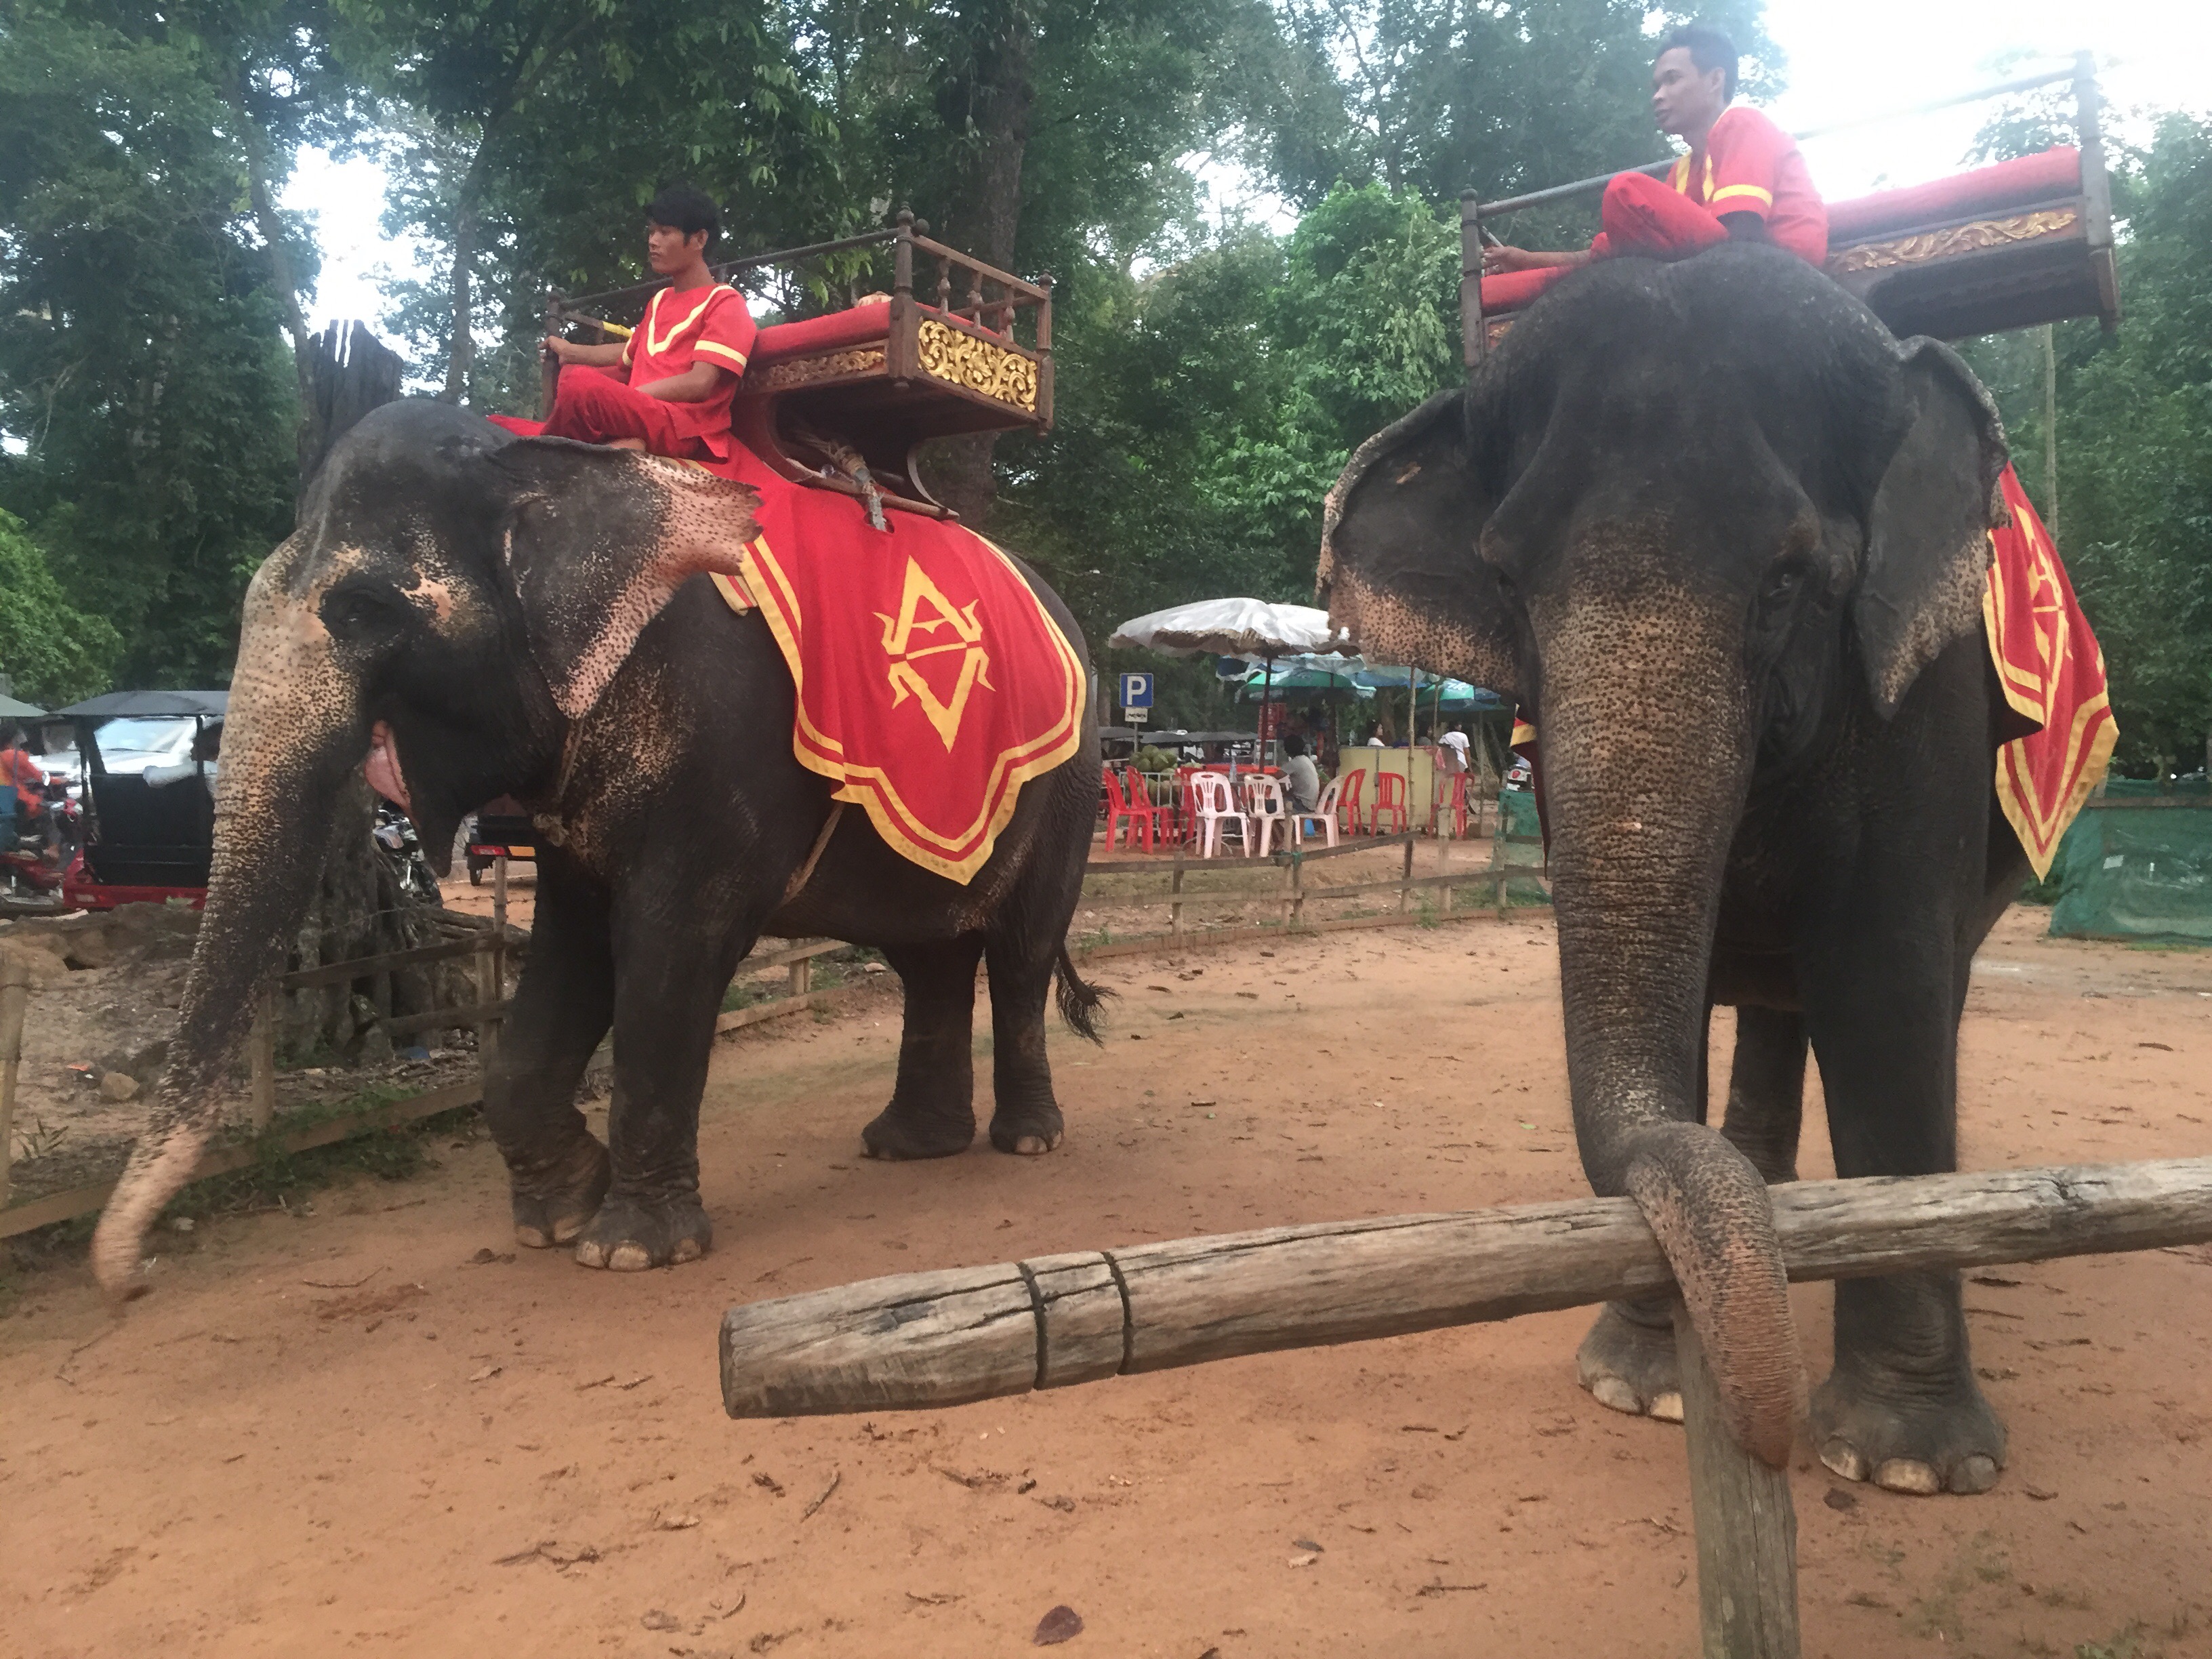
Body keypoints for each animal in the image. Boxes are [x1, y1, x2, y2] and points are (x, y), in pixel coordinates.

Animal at [92, 401, 1106, 1293]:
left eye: (364, 610)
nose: (139, 1278)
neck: (539, 458)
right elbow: (572, 955)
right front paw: (564, 1209)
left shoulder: (722, 751)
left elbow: (668, 954)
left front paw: (629, 1251)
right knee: (930, 957)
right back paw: (907, 1146)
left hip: (1068, 786)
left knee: (1017, 956)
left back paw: (1027, 1140)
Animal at [1321, 243, 2026, 1494]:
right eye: (1508, 582)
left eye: (1789, 580)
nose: (1772, 1435)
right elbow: (1683, 997)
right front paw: (1638, 1385)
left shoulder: (1921, 693)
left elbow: (1884, 984)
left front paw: (1903, 1462)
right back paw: (1774, 1200)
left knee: (1911, 995)